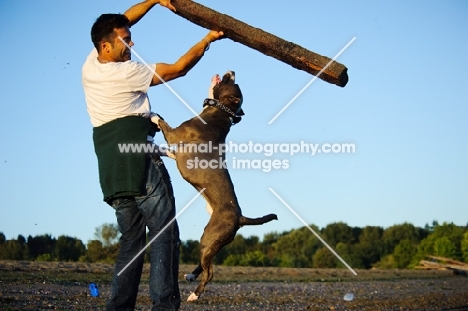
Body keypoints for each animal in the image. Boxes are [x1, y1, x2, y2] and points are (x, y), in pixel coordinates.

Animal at [154, 71, 278, 302]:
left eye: (231, 82)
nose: (231, 72)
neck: (219, 111)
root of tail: (240, 217)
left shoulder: (174, 134)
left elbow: (162, 122)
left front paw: (152, 115)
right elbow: (167, 150)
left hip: (208, 238)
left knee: (210, 272)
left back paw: (194, 295)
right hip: (214, 242)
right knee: (205, 264)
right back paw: (190, 276)